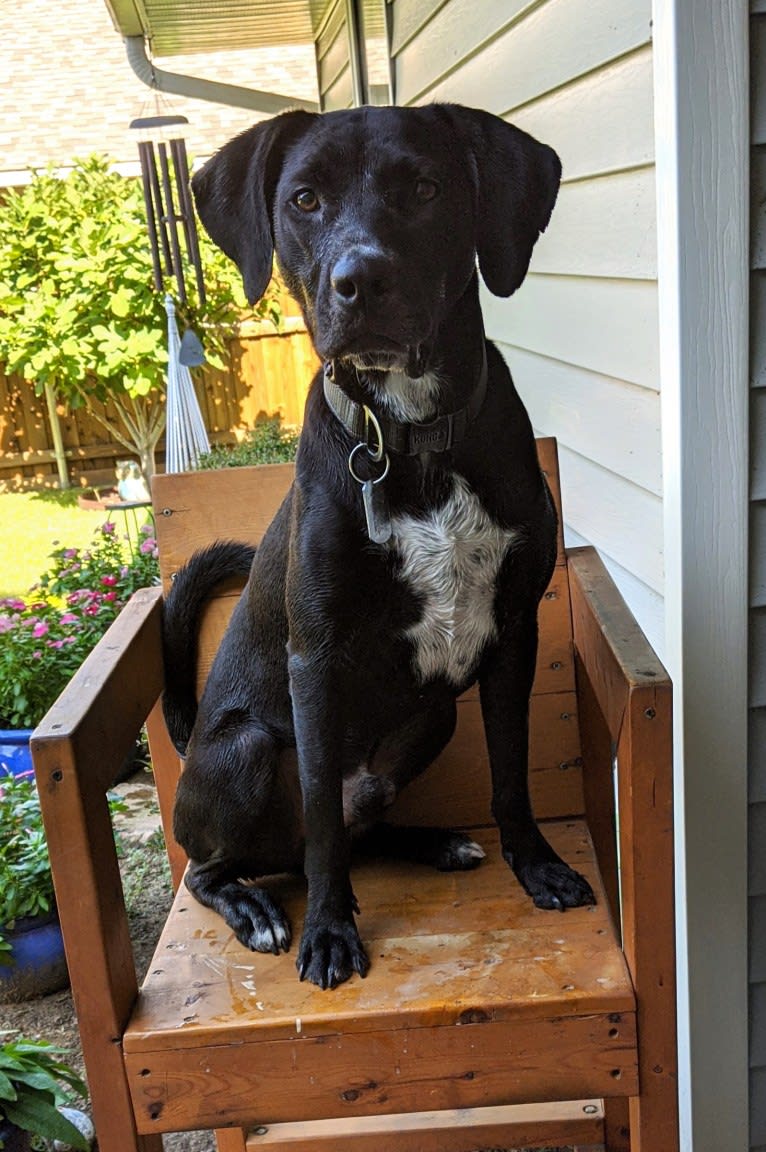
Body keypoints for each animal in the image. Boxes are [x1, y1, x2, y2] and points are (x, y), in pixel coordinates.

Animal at [164, 105, 594, 990]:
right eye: (304, 199)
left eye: (425, 189)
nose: (359, 282)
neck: (411, 433)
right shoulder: (316, 662)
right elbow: (325, 824)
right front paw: (330, 932)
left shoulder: (514, 633)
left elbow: (511, 774)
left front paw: (535, 865)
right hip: (248, 747)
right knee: (227, 863)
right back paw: (257, 908)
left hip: (433, 714)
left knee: (348, 823)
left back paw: (434, 842)